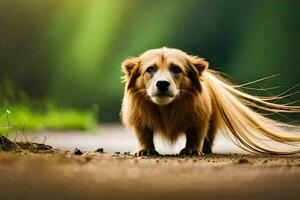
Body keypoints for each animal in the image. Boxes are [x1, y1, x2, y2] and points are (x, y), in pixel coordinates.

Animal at [120, 47, 300, 156]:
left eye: (176, 69)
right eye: (150, 69)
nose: (162, 84)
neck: (166, 109)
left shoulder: (199, 119)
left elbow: (195, 134)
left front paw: (191, 150)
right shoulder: (140, 120)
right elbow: (144, 134)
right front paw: (146, 150)